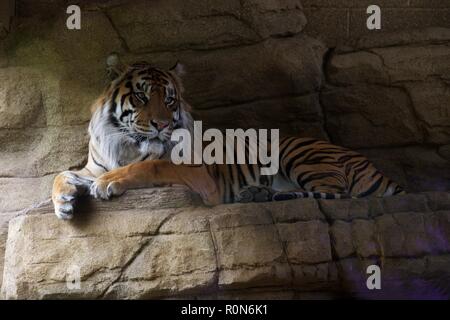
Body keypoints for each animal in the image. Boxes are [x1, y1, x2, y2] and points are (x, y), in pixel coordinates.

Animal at [51, 55, 406, 220]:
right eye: (141, 97)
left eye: (169, 100)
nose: (163, 125)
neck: (125, 145)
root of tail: (375, 167)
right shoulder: (92, 166)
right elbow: (60, 175)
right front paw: (65, 202)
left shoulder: (198, 174)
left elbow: (150, 166)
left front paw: (108, 183)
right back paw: (257, 193)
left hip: (300, 154)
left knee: (337, 196)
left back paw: (268, 196)